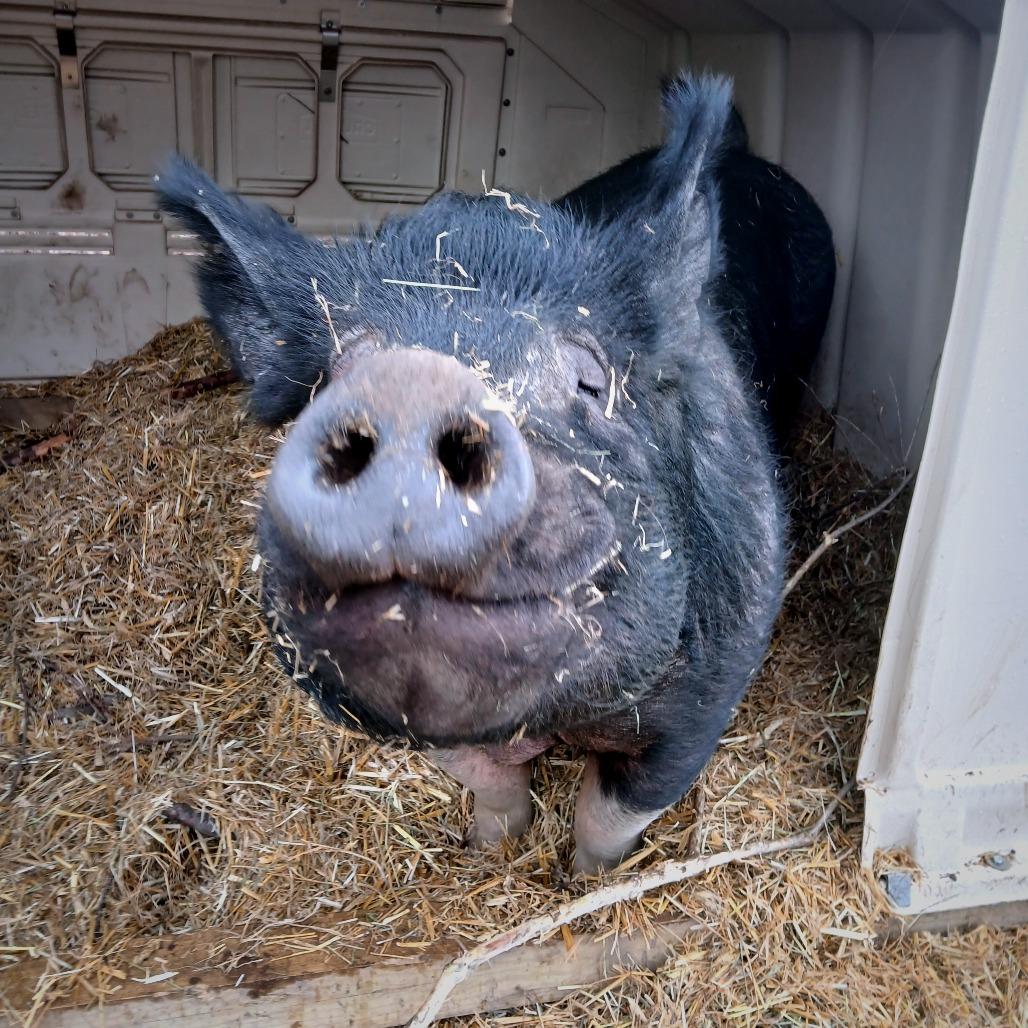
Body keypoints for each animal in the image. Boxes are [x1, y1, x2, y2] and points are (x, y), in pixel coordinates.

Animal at [156, 73, 835, 874]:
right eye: (330, 379)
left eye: (591, 380)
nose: (412, 385)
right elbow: (489, 781)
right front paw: (487, 851)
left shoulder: (716, 678)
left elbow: (615, 807)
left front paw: (584, 880)